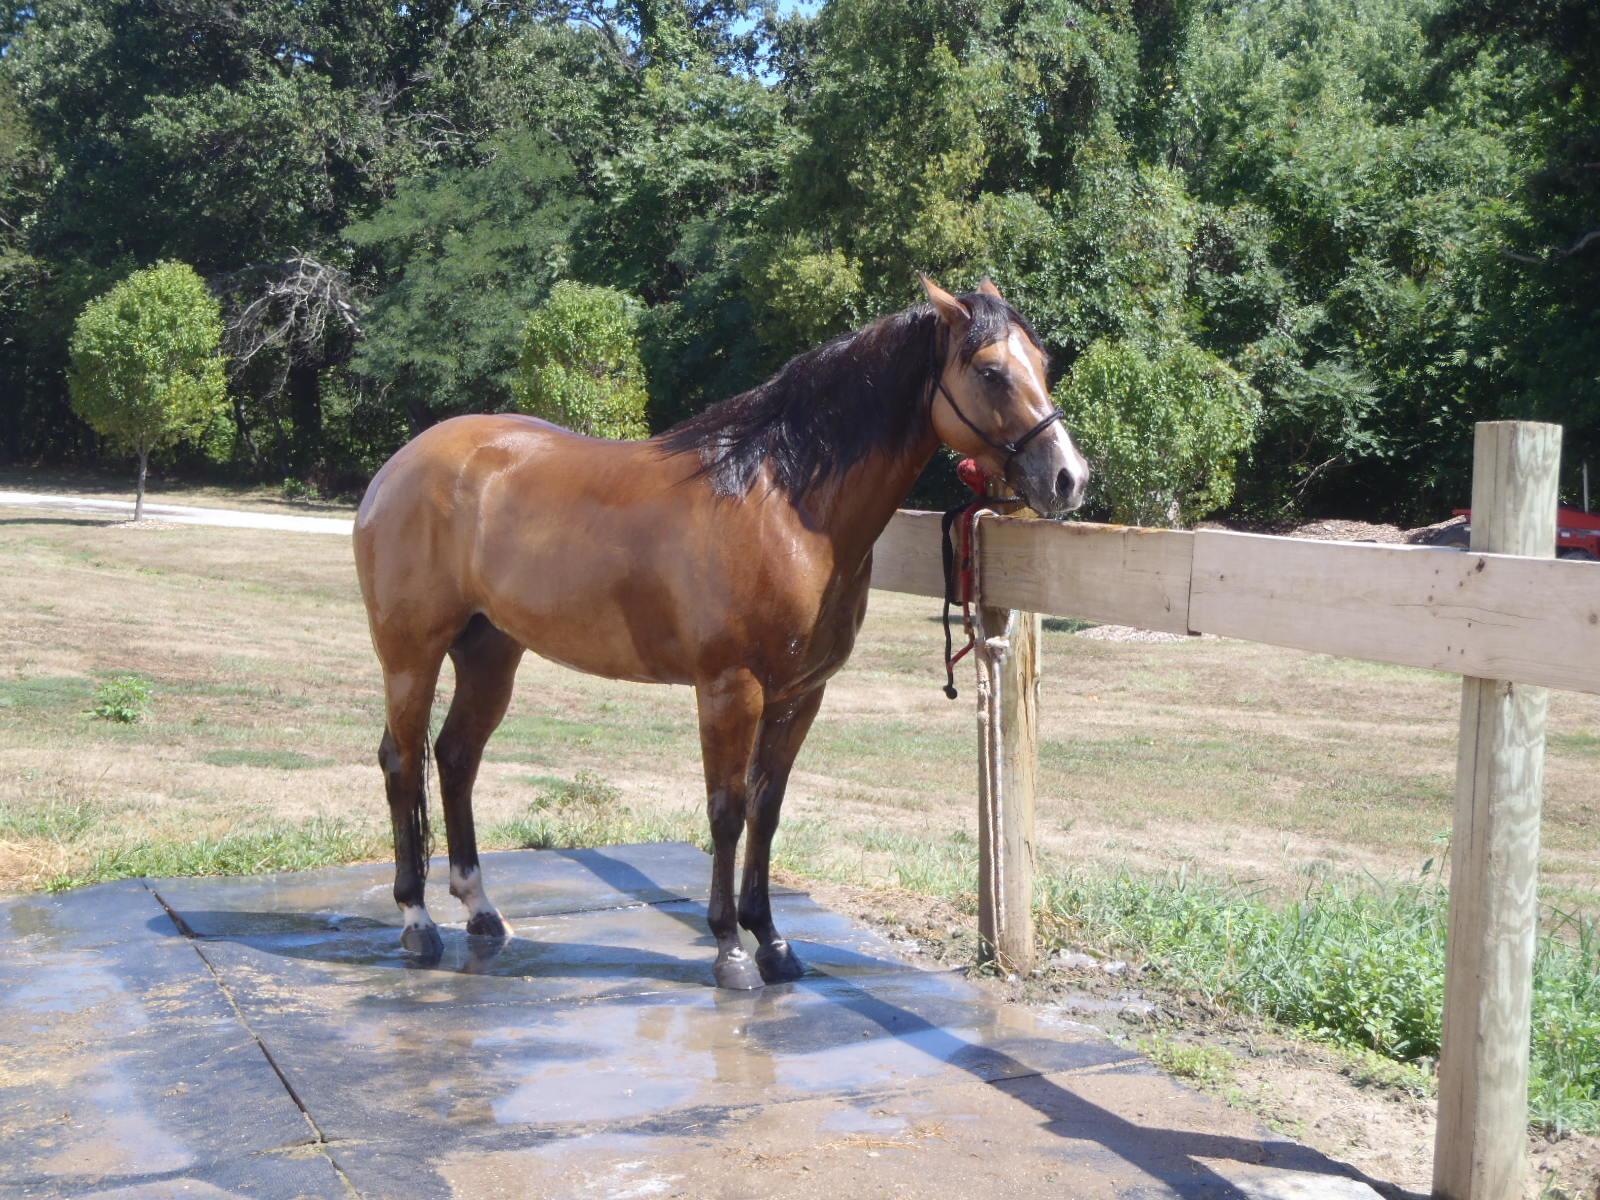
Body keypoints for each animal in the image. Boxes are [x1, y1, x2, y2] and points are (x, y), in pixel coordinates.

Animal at [356, 276, 1094, 992]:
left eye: (1043, 365)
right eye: (992, 371)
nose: (1069, 478)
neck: (784, 505)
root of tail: (396, 468)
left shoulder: (799, 695)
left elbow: (767, 811)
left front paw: (772, 942)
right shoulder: (729, 689)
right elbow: (727, 811)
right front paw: (730, 950)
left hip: (491, 652)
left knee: (456, 757)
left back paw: (481, 911)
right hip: (411, 656)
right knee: (402, 761)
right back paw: (417, 921)